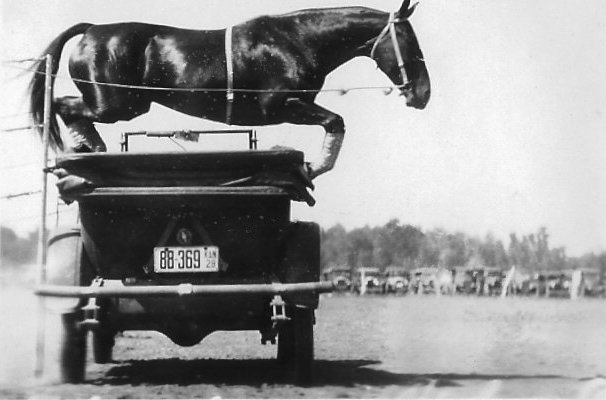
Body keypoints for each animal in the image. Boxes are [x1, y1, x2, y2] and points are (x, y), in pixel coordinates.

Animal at [29, 0, 432, 178]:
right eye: (408, 40)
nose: (423, 93)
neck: (295, 41)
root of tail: (91, 30)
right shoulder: (281, 105)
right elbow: (336, 121)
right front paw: (313, 168)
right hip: (117, 104)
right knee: (64, 105)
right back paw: (89, 151)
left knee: (66, 106)